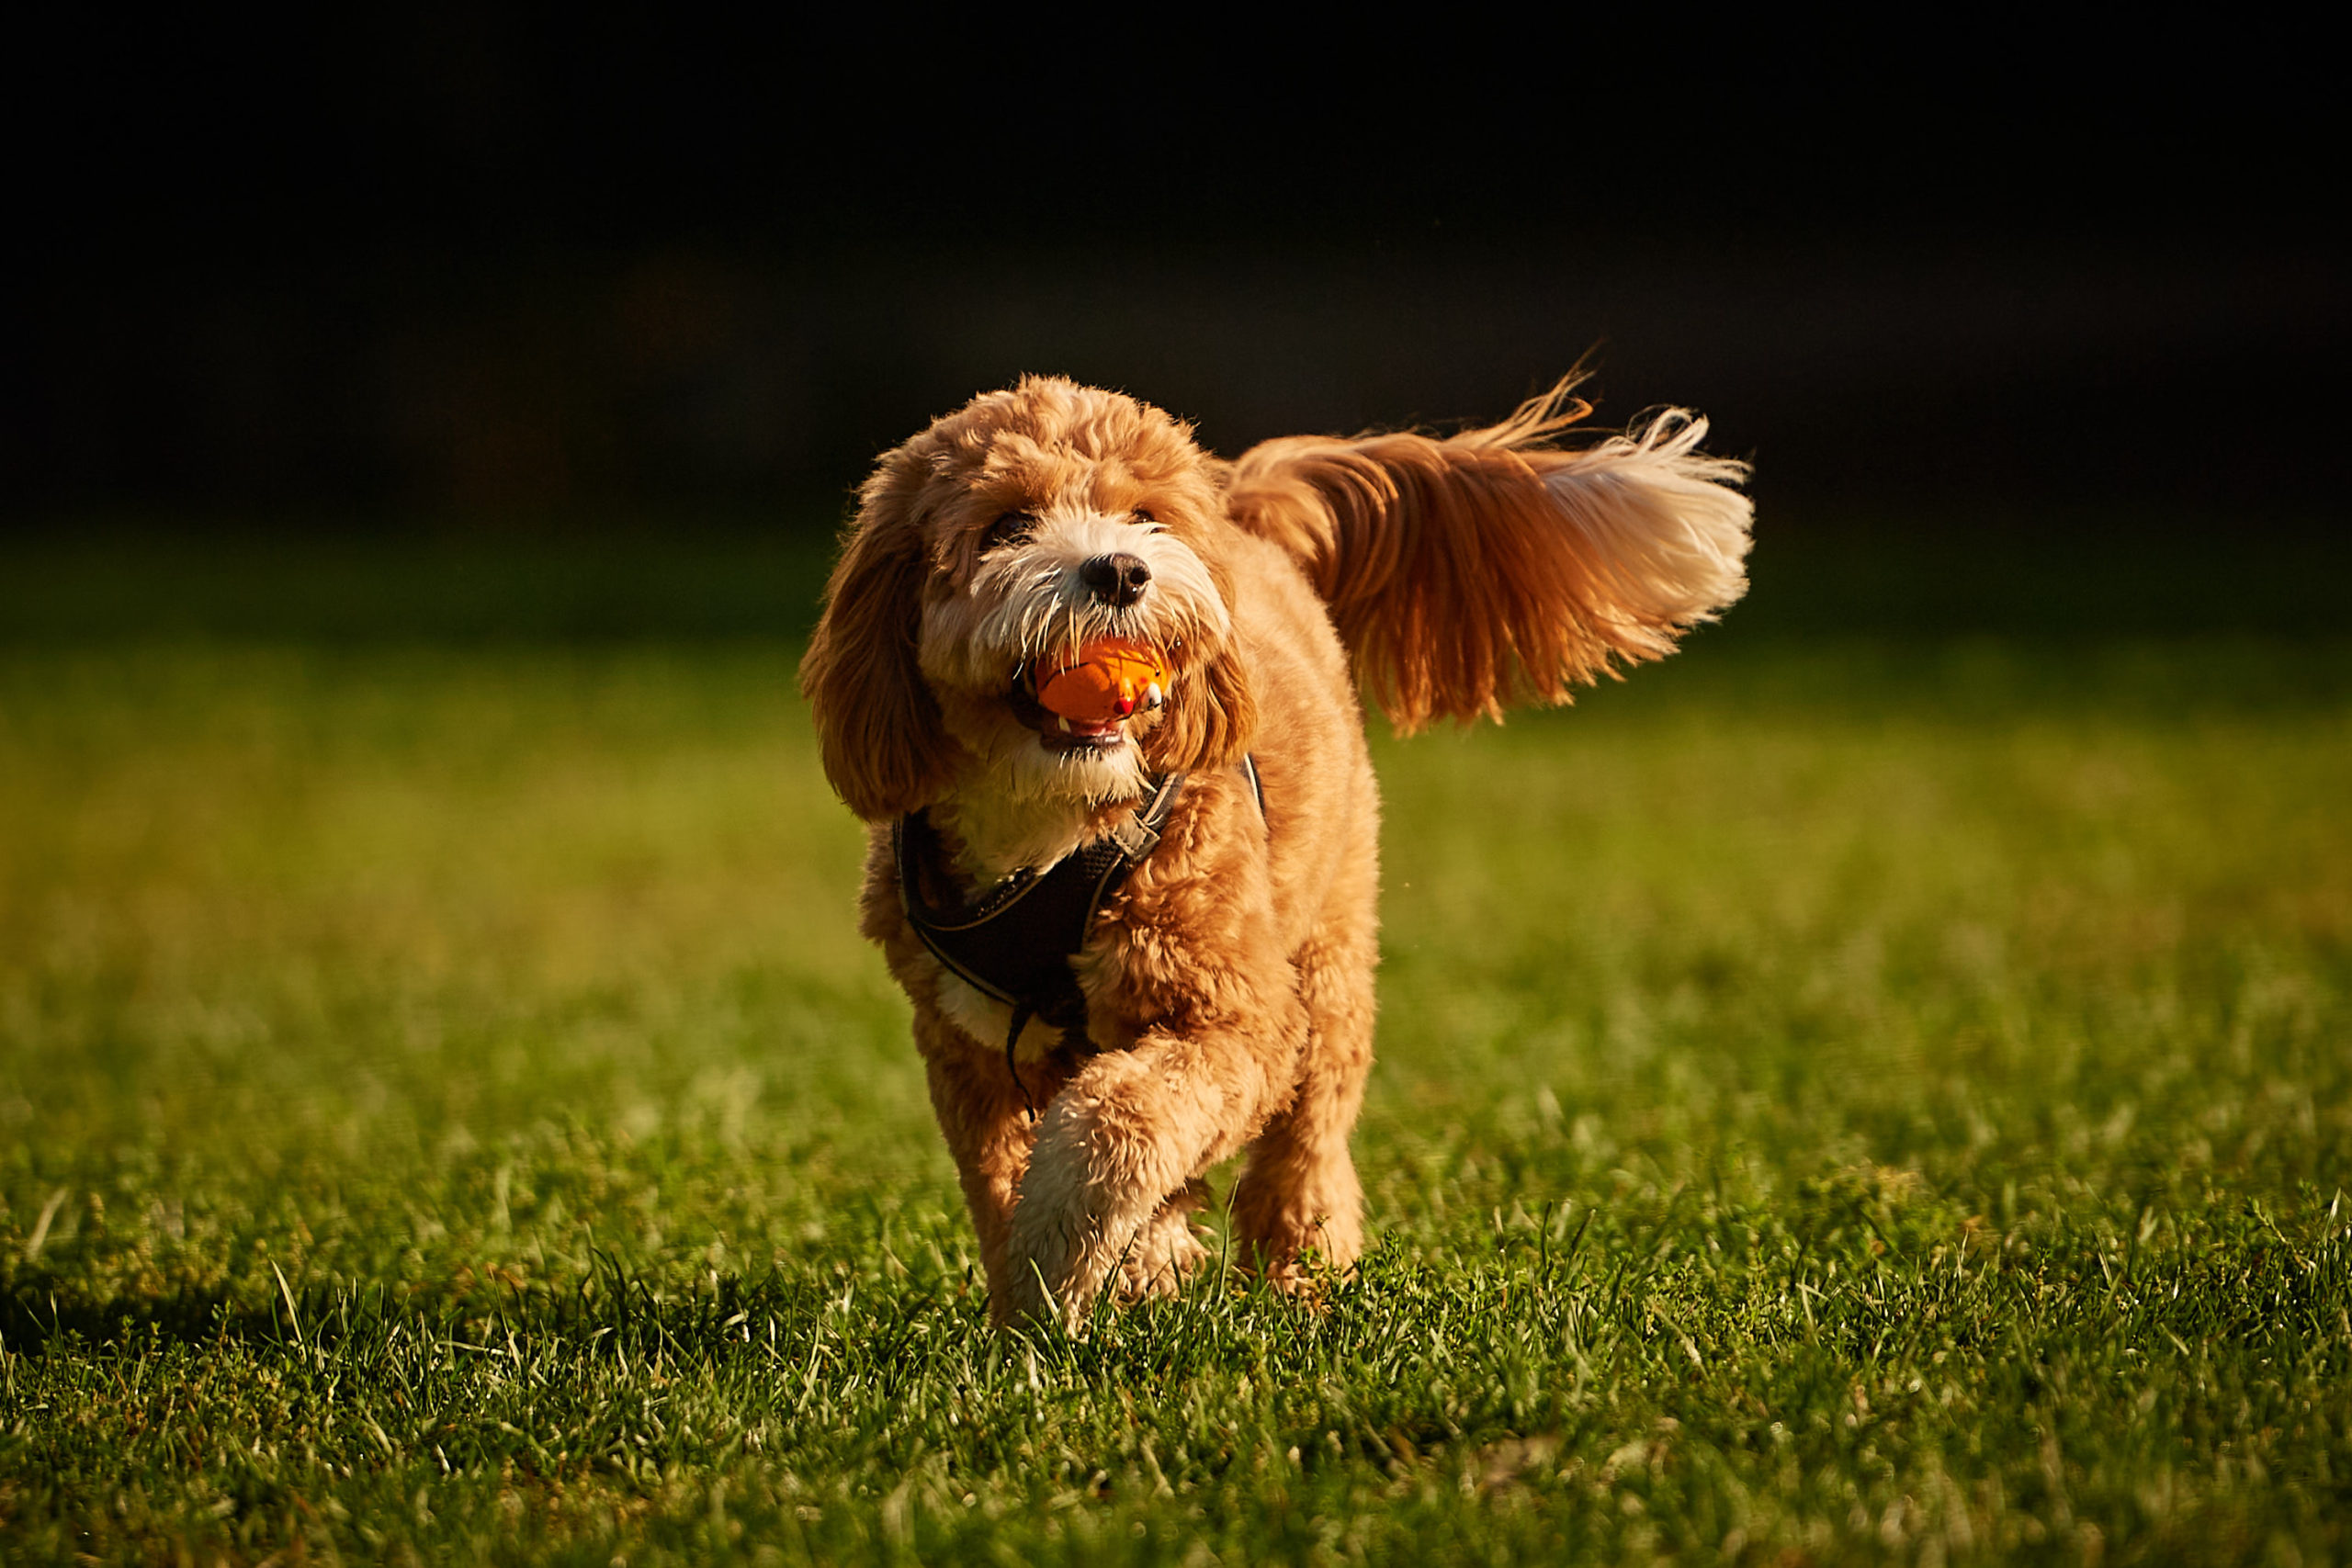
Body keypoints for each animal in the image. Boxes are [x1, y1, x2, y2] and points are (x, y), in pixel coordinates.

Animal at [804, 376, 1749, 1325]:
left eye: (1143, 516)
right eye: (1006, 524)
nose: (1122, 570)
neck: (1056, 830)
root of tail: (1249, 511)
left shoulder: (1242, 1017)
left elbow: (1116, 1120)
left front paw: (1062, 1252)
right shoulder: (964, 1050)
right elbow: (1007, 1176)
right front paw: (1039, 1303)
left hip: (1330, 953)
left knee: (1308, 1134)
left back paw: (1304, 1275)